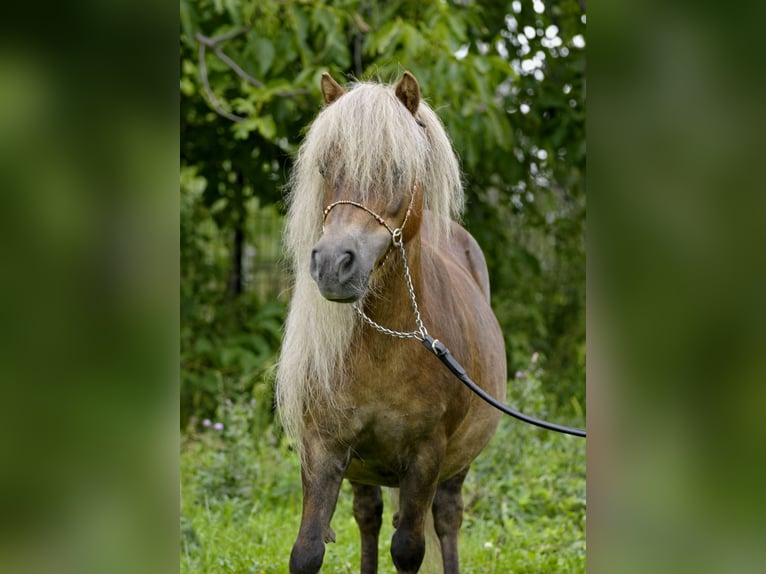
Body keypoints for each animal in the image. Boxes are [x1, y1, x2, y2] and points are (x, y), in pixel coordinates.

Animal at [278, 72, 510, 574]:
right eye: (324, 168)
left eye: (399, 171)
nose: (333, 264)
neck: (385, 347)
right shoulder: (323, 448)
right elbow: (307, 551)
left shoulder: (425, 456)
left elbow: (408, 549)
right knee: (368, 517)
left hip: (455, 466)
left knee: (446, 519)